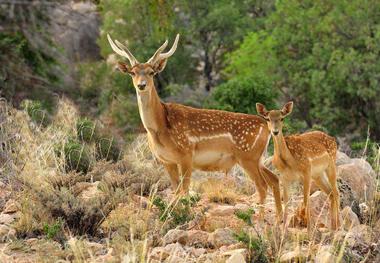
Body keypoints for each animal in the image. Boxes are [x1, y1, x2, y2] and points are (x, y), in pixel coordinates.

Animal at [107, 33, 282, 219]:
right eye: (132, 72)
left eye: (151, 72)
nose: (141, 85)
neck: (160, 128)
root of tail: (266, 126)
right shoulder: (166, 160)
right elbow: (176, 190)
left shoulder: (186, 154)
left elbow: (184, 190)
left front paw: (184, 216)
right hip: (259, 158)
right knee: (274, 179)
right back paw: (279, 219)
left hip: (248, 156)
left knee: (262, 185)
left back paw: (263, 220)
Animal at [256, 102, 340, 232]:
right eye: (267, 118)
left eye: (282, 118)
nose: (275, 132)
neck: (289, 161)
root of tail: (333, 139)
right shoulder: (284, 178)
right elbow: (286, 202)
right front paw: (283, 230)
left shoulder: (306, 171)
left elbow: (306, 200)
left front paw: (309, 230)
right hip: (318, 174)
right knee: (330, 193)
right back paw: (333, 227)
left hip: (331, 164)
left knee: (336, 192)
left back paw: (339, 226)